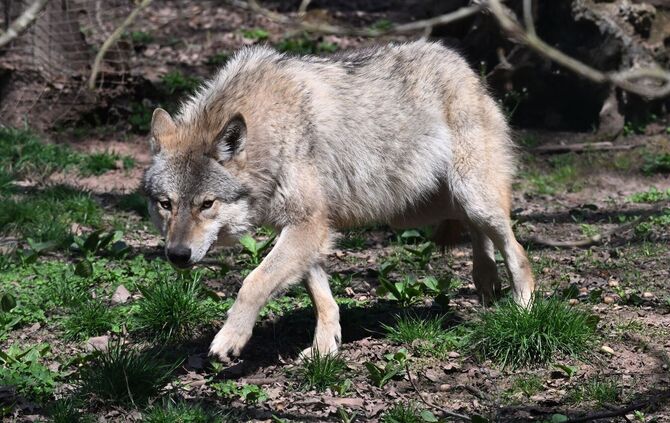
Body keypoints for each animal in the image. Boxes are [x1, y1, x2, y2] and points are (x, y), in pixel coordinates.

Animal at [142, 39, 535, 361]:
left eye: (206, 204)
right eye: (166, 204)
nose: (177, 255)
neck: (271, 132)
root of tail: (464, 65)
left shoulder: (308, 225)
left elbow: (253, 282)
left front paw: (230, 338)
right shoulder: (309, 229)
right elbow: (322, 298)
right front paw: (324, 349)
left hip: (470, 197)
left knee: (516, 250)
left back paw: (522, 309)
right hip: (416, 209)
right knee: (474, 229)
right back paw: (485, 280)